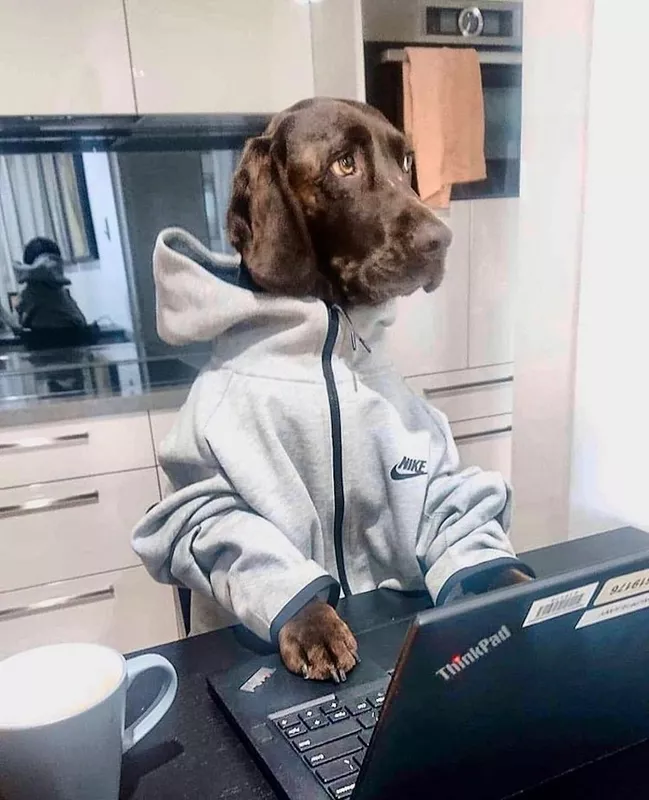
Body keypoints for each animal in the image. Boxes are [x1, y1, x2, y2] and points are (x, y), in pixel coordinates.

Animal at [225, 95, 528, 680]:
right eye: (344, 163)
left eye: (406, 161)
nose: (441, 240)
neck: (327, 329)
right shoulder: (219, 498)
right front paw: (315, 627)